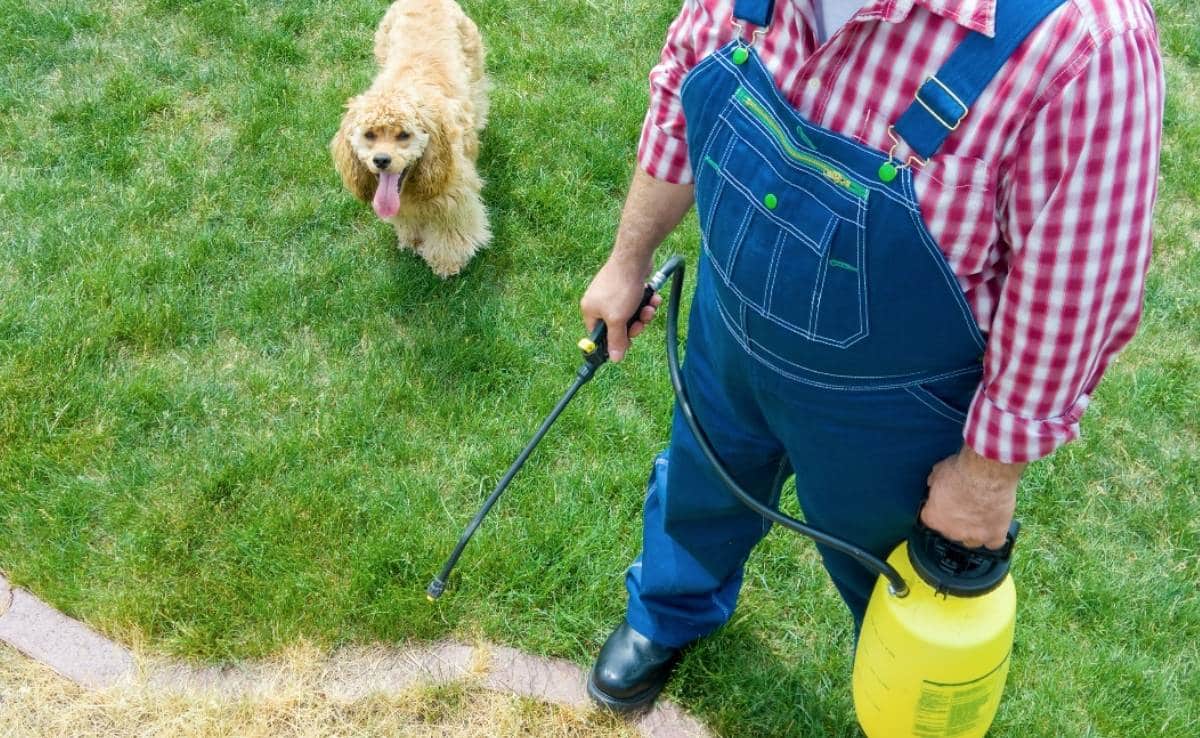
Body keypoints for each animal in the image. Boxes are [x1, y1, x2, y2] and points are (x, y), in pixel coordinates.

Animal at [331, 0, 489, 277]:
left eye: (404, 135)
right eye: (369, 135)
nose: (381, 160)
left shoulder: (454, 198)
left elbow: (451, 232)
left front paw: (446, 263)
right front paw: (412, 239)